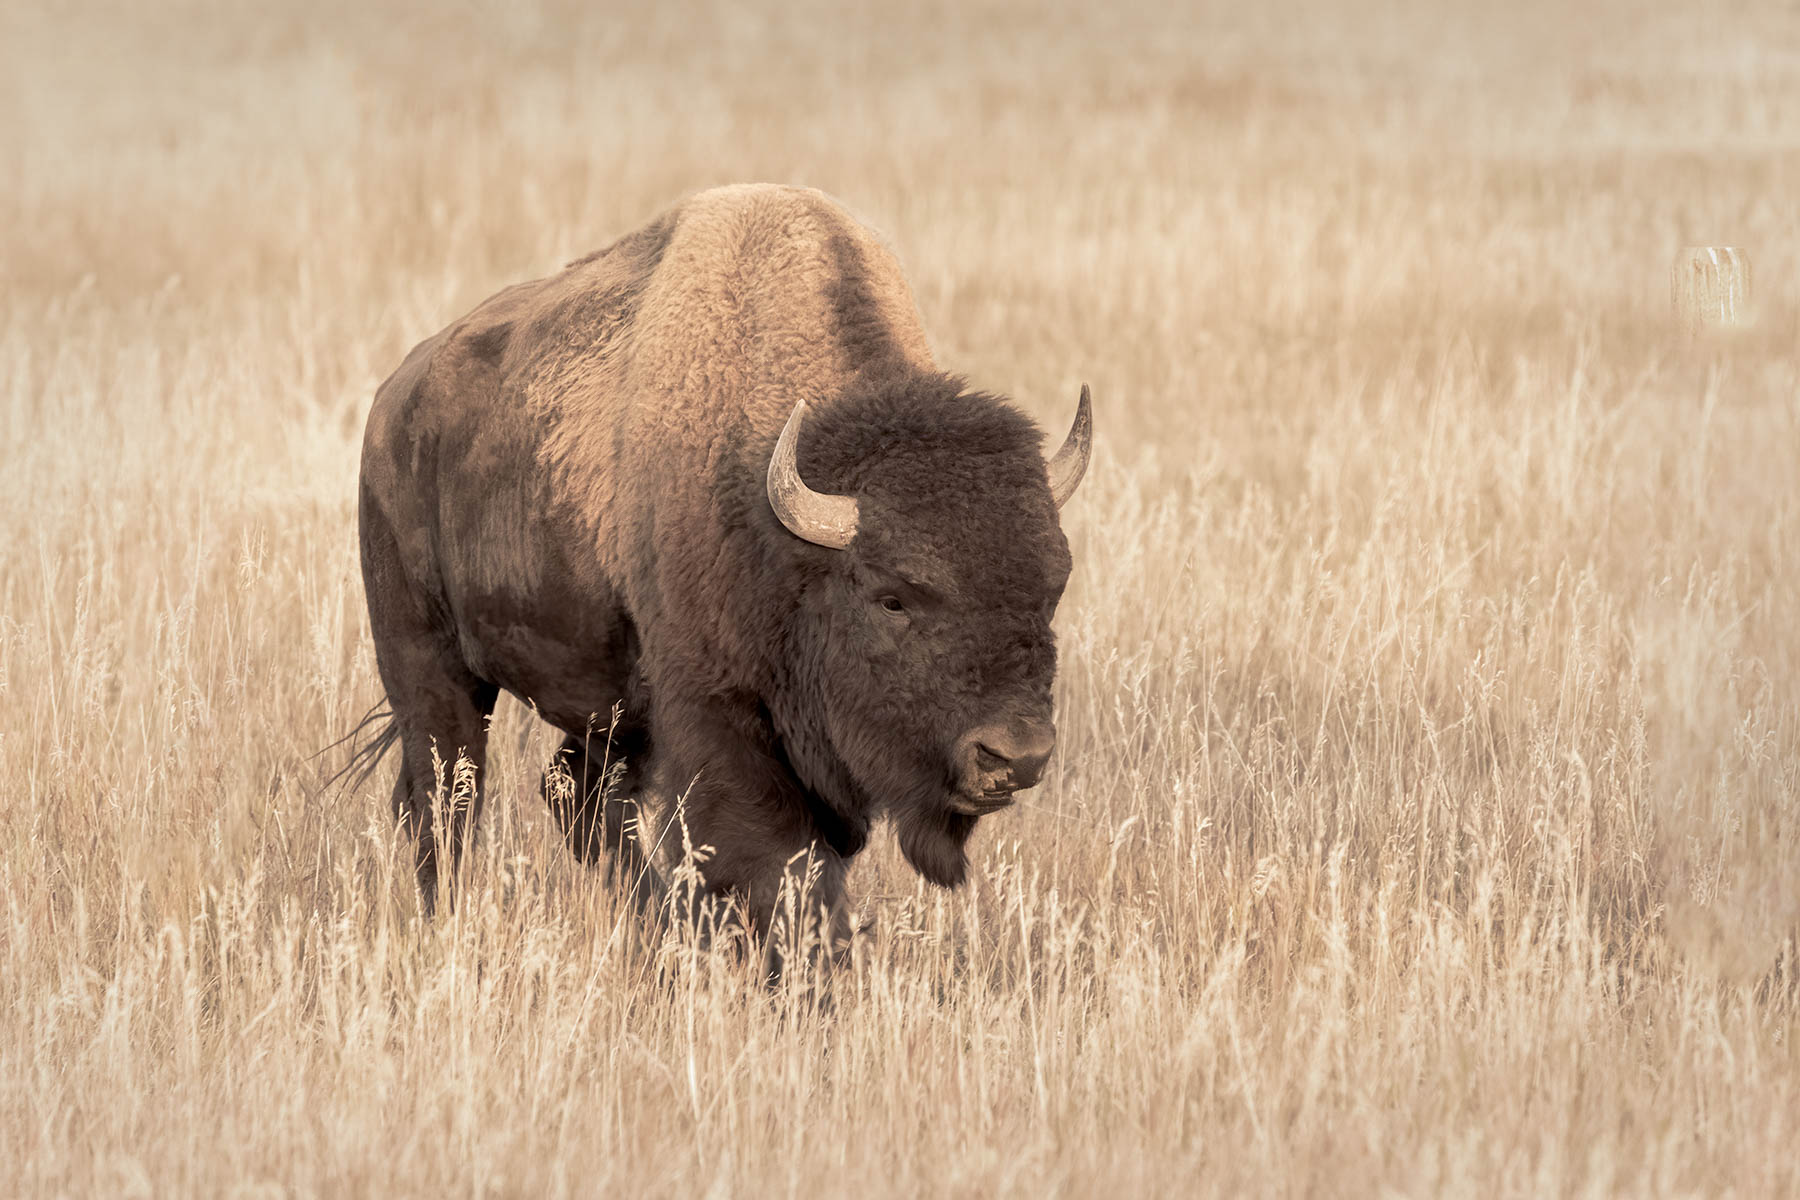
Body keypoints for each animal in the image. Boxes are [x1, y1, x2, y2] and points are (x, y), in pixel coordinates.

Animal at [356, 180, 1087, 949]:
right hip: (429, 664)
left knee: (573, 797)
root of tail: (393, 403)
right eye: (893, 598)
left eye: (1050, 592)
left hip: (611, 711)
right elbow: (776, 860)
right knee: (447, 796)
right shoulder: (718, 720)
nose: (1015, 756)